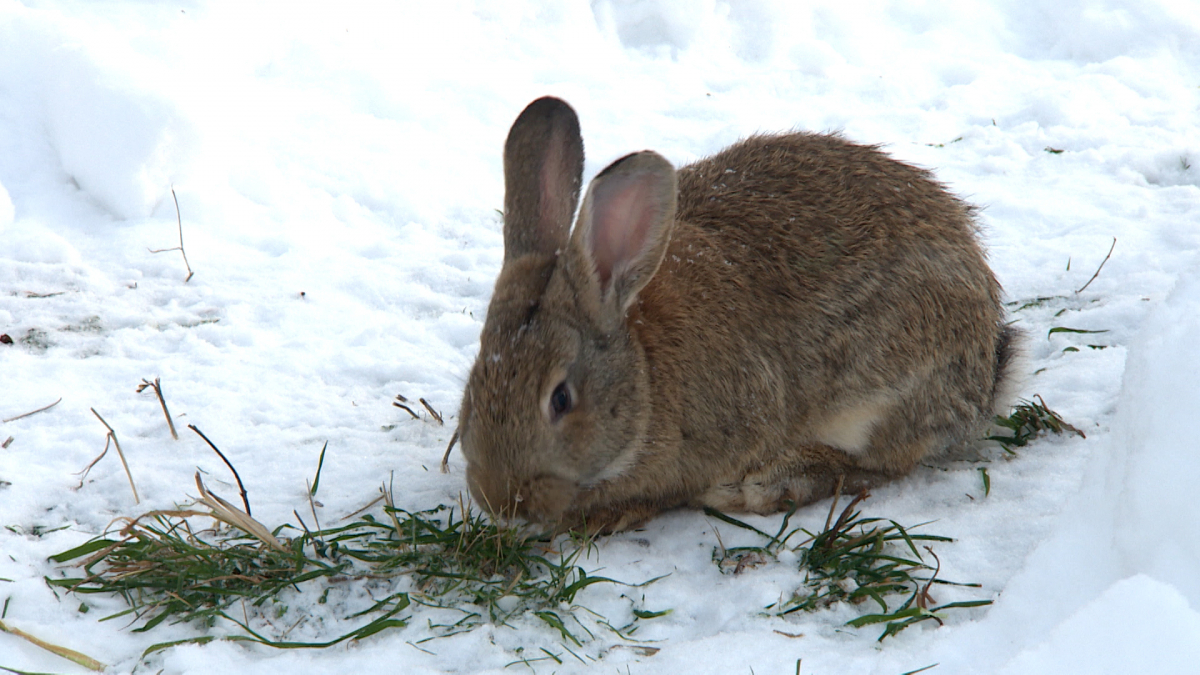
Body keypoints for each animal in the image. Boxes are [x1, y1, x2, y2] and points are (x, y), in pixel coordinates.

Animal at [458, 96, 1022, 530]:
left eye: (561, 399)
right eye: (474, 383)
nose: (501, 499)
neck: (645, 372)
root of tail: (986, 364)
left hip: (881, 391)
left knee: (880, 464)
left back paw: (768, 484)